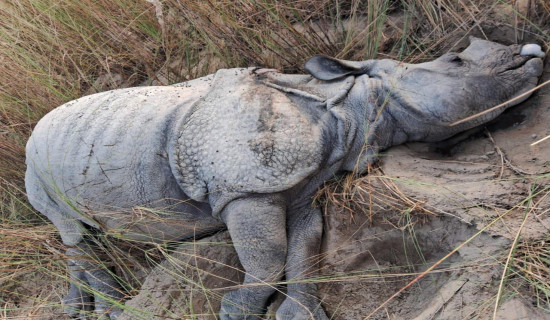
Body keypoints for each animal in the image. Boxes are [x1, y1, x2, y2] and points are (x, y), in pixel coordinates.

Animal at [25, 36, 548, 318]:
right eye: (456, 61)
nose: (533, 52)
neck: (349, 107)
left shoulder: (299, 188)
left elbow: (303, 246)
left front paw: (299, 313)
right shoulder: (243, 188)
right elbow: (270, 255)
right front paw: (236, 312)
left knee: (80, 233)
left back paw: (83, 304)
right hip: (35, 163)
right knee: (71, 227)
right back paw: (110, 308)